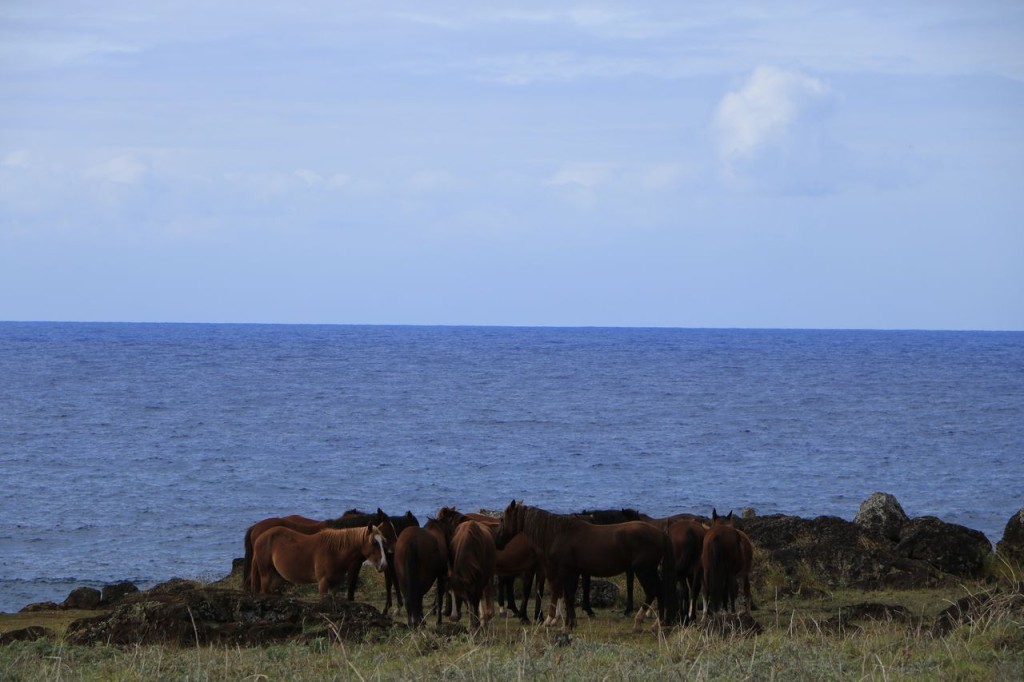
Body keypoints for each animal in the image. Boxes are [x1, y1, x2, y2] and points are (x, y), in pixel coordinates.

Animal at [250, 524, 388, 596]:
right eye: (374, 542)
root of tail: (259, 537)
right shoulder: (323, 582)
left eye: (383, 541)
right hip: (266, 575)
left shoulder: (335, 584)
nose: (384, 565)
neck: (334, 552)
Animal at [496, 501, 678, 629]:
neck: (559, 533)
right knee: (659, 591)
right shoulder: (573, 572)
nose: (497, 541)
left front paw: (566, 624)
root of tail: (661, 534)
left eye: (503, 519)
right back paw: (657, 623)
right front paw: (570, 622)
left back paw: (641, 622)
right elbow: (568, 595)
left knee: (654, 591)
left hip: (644, 570)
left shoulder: (566, 571)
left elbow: (567, 596)